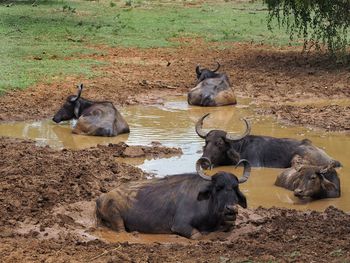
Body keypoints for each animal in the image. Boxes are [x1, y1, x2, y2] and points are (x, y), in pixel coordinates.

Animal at [95, 158, 252, 240]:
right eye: (218, 187)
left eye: (235, 187)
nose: (231, 209)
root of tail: (102, 197)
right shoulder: (180, 225)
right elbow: (197, 235)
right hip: (116, 217)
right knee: (121, 231)